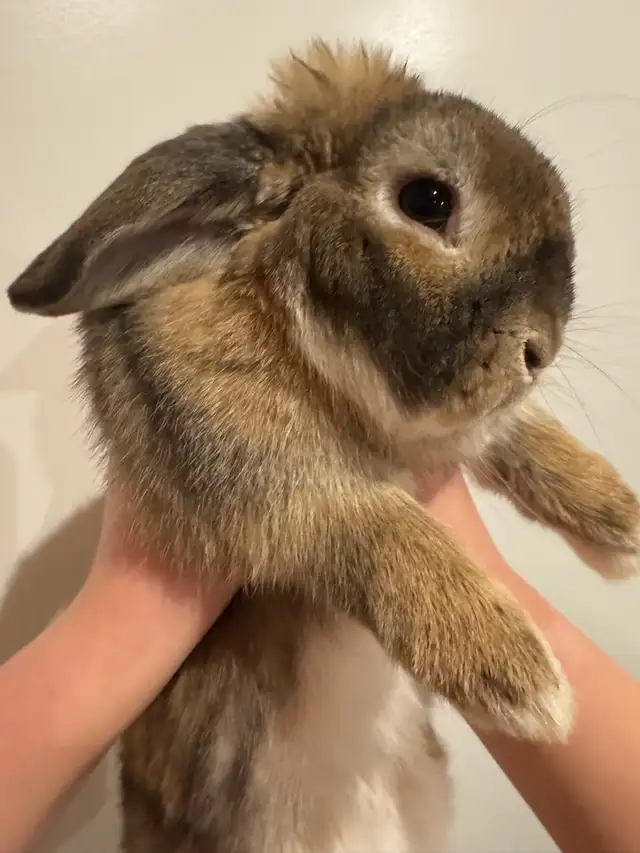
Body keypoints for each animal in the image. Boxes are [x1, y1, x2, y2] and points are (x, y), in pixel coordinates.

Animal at [7, 39, 640, 853]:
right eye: (428, 200)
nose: (542, 349)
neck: (286, 319)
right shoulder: (268, 477)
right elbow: (383, 529)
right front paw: (524, 680)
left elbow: (521, 435)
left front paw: (620, 523)